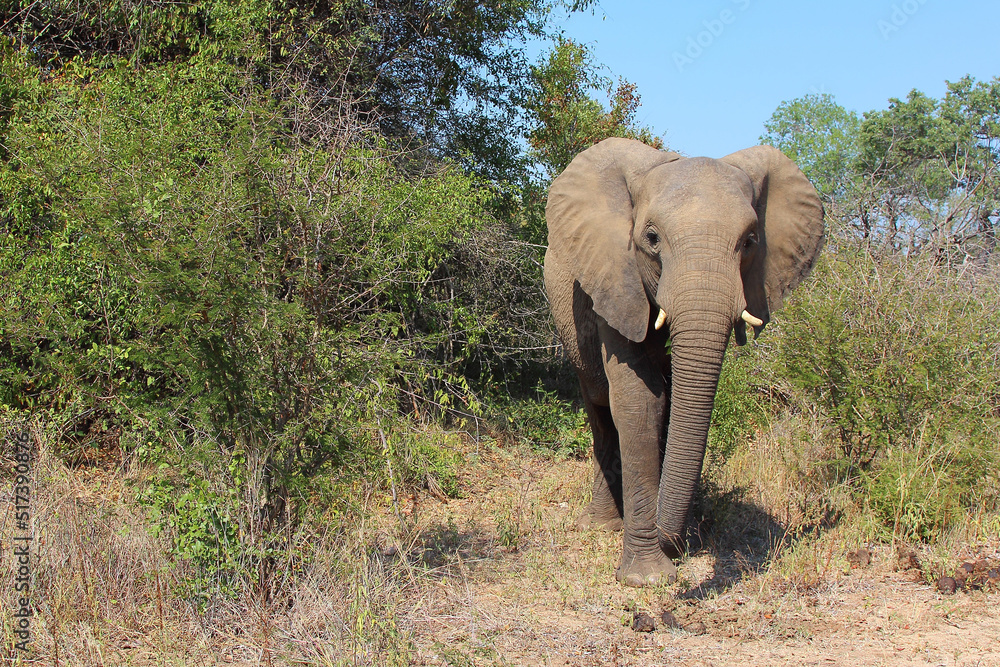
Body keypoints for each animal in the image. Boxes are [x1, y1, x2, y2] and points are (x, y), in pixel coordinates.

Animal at [543, 138, 823, 587]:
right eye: (652, 238)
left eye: (751, 241)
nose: (674, 544)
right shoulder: (616, 278)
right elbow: (640, 400)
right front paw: (648, 579)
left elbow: (677, 403)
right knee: (600, 407)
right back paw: (602, 526)